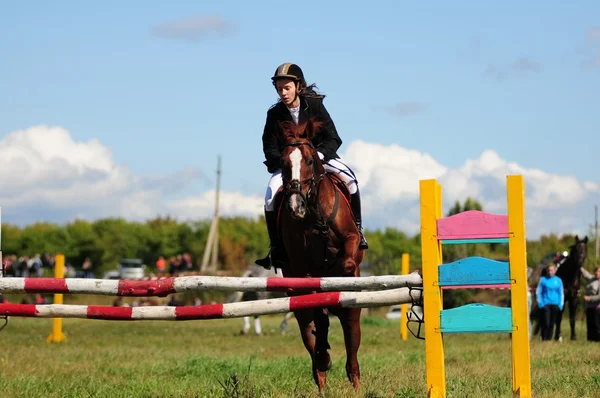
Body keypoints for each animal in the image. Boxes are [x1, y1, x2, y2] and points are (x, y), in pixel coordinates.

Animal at [274, 118, 364, 392]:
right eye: (283, 163)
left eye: (310, 161)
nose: (296, 207)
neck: (315, 211)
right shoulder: (302, 268)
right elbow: (317, 309)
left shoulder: (351, 240)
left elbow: (347, 262)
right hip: (299, 307)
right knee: (313, 334)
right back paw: (322, 368)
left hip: (352, 317)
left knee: (351, 337)